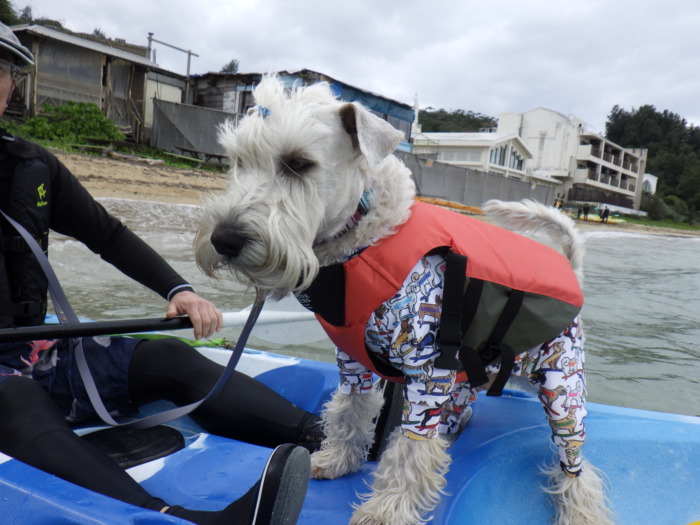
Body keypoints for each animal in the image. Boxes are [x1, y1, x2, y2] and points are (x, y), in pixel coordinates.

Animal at [194, 74, 616, 524]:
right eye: (238, 160)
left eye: (298, 162)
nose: (224, 240)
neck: (359, 237)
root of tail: (571, 270)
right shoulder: (353, 362)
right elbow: (350, 410)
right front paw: (336, 459)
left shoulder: (427, 368)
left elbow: (412, 447)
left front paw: (386, 510)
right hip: (472, 373)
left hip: (561, 383)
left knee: (575, 462)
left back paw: (581, 510)